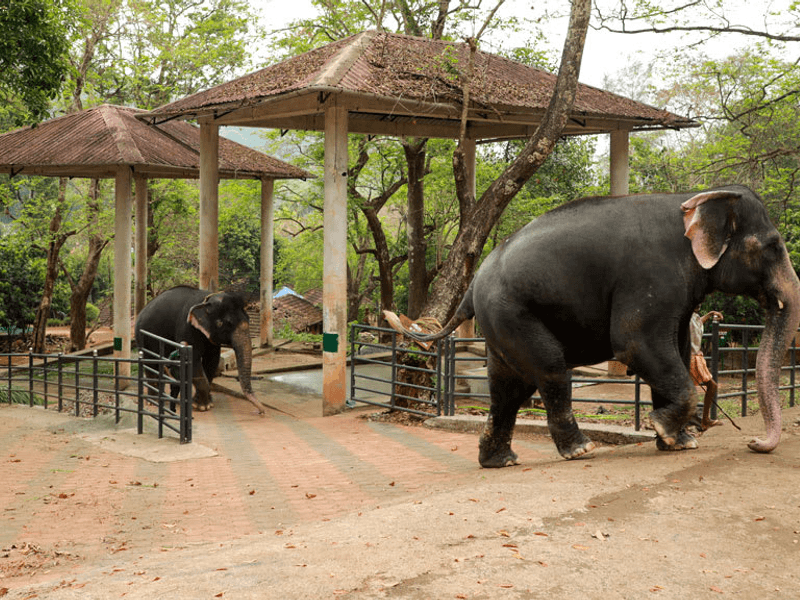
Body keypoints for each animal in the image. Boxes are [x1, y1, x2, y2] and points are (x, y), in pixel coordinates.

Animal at [135, 286, 268, 414]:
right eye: (227, 324)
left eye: (248, 319)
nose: (260, 411)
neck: (206, 300)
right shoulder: (187, 327)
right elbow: (193, 360)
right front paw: (202, 407)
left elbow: (212, 360)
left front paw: (204, 403)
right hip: (143, 338)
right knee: (151, 364)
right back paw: (153, 401)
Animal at [385, 186, 800, 467]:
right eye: (773, 246)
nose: (753, 443)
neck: (694, 198)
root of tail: (471, 287)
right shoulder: (650, 276)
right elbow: (635, 343)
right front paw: (664, 430)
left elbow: (678, 349)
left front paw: (679, 442)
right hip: (512, 312)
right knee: (550, 371)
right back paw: (581, 450)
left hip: (500, 322)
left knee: (509, 388)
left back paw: (499, 461)